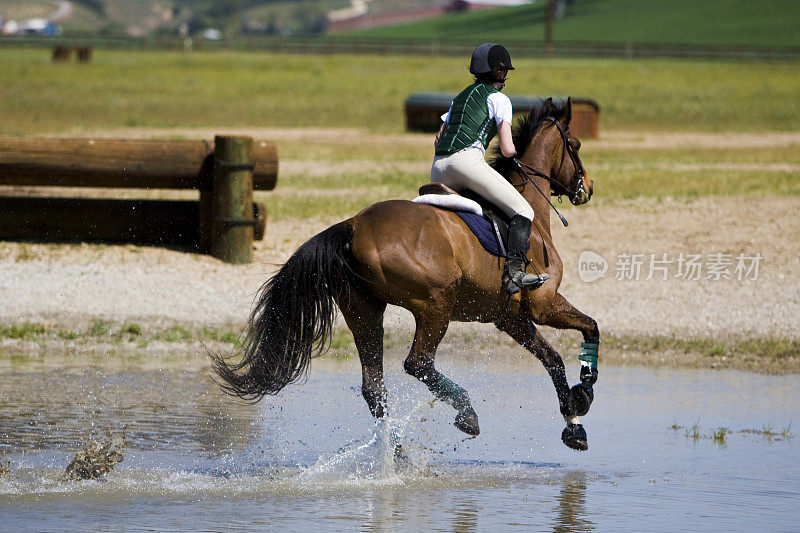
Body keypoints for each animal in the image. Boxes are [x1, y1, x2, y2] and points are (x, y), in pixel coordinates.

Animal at [212, 97, 600, 450]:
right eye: (576, 145)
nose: (588, 188)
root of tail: (352, 225)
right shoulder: (543, 304)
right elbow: (590, 327)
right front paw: (585, 388)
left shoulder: (511, 317)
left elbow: (553, 360)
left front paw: (574, 424)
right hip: (436, 304)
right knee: (418, 363)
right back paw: (465, 412)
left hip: (364, 311)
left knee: (374, 387)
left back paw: (396, 452)